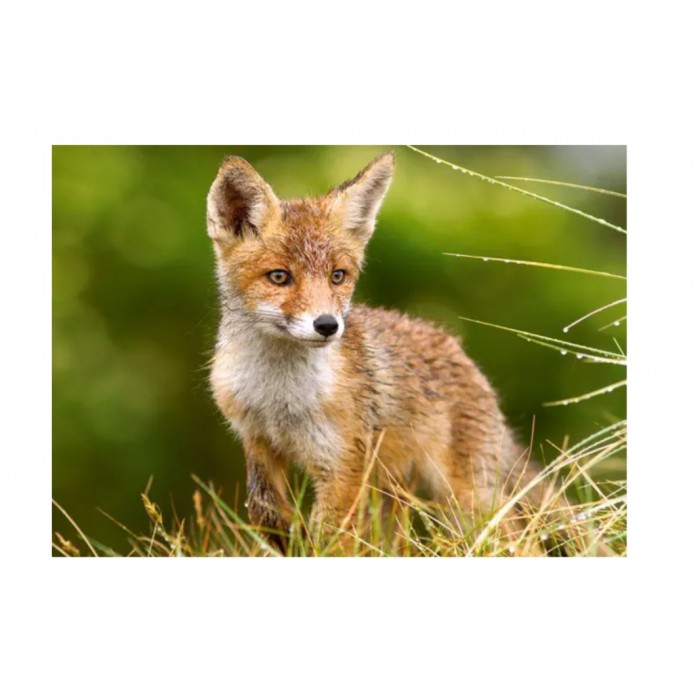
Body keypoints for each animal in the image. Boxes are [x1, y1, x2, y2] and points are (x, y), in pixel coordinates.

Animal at [207, 152, 561, 555]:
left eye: (338, 276)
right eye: (279, 277)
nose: (327, 325)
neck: (281, 398)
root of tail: (459, 350)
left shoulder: (344, 463)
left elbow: (333, 540)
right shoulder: (257, 442)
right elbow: (264, 510)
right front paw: (289, 539)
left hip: (463, 496)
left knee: (519, 538)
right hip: (397, 496)